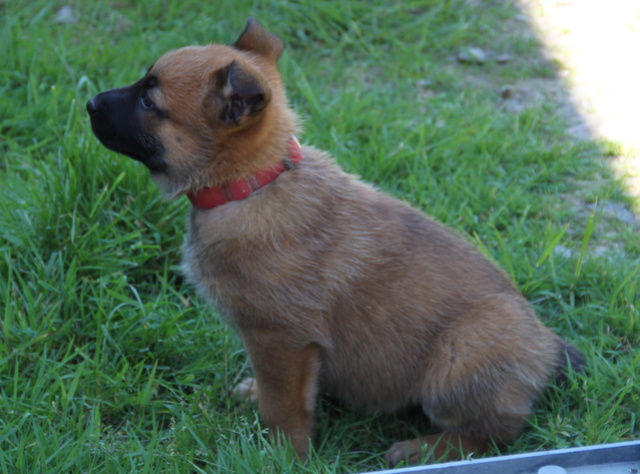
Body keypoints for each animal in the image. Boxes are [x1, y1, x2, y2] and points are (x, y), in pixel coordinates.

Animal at [87, 19, 588, 466]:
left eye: (149, 100)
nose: (89, 101)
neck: (250, 183)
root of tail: (547, 350)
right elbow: (281, 391)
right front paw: (256, 396)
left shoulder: (280, 339)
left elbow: (284, 405)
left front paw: (282, 456)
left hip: (463, 351)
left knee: (495, 432)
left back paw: (423, 449)